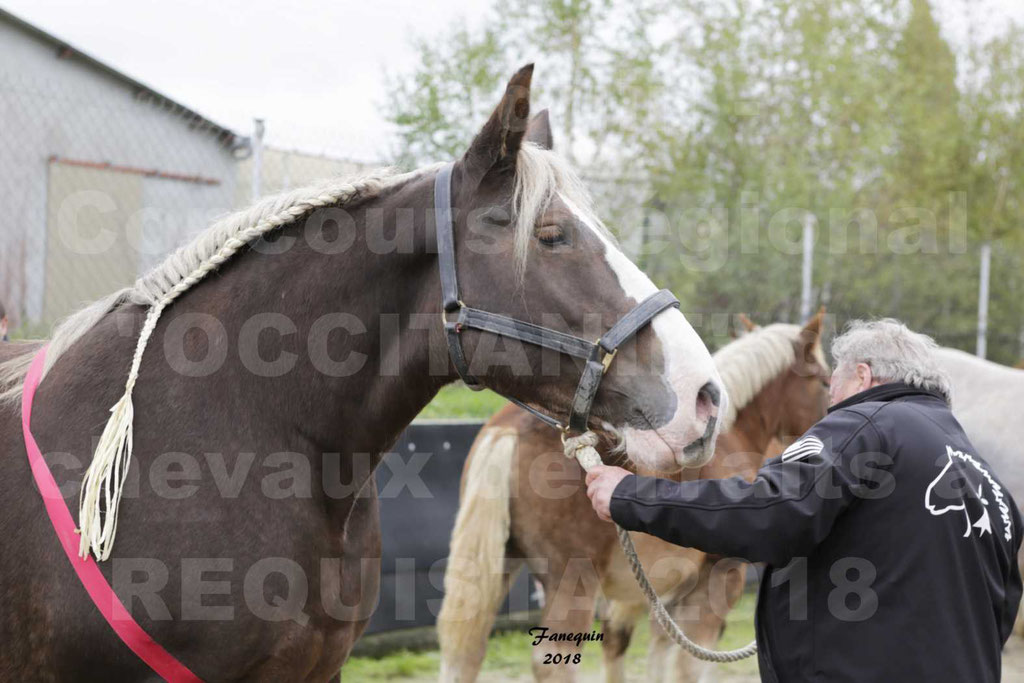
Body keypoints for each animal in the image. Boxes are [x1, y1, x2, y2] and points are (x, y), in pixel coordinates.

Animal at [436, 313, 827, 679]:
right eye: (823, 380)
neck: (732, 435)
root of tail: (506, 428)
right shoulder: (717, 577)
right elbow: (689, 666)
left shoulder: (664, 591)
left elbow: (655, 650)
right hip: (572, 581)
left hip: (499, 566)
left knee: (464, 653)